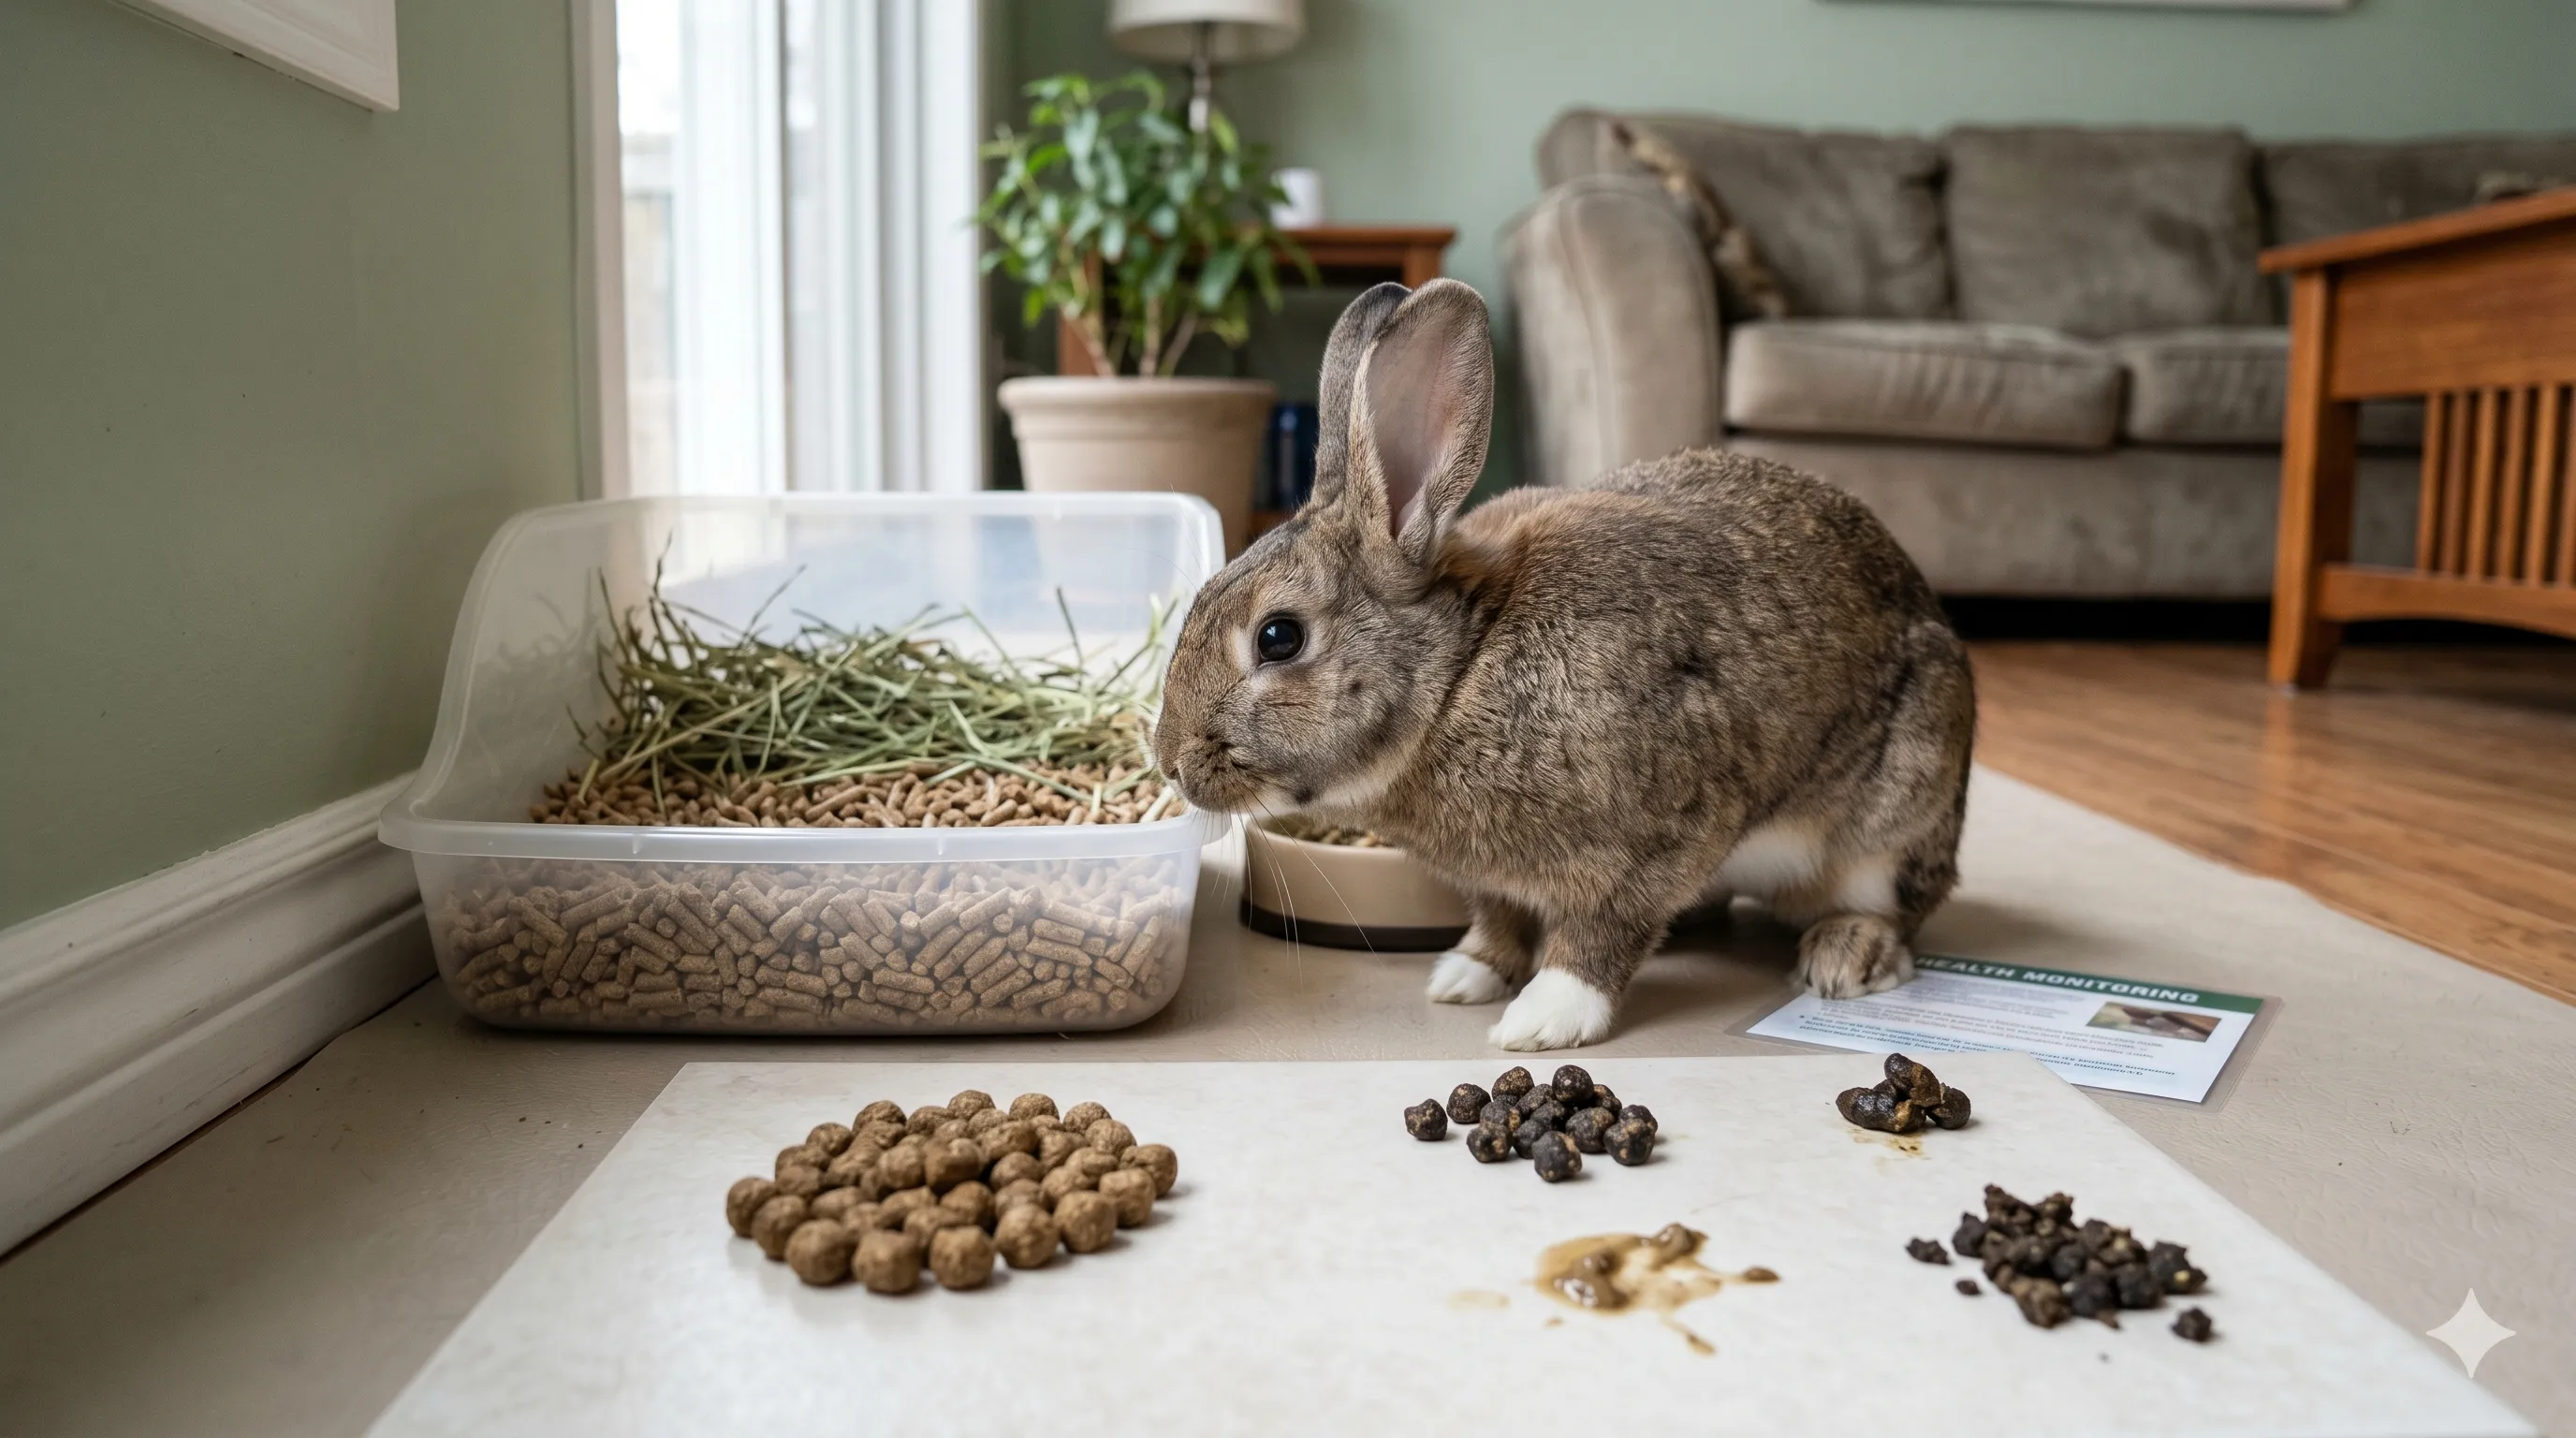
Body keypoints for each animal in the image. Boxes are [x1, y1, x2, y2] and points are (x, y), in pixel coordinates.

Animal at [1152, 279, 1975, 1051]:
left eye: (1278, 638)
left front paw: (1543, 1018)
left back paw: (1844, 955)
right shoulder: (1497, 882)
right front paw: (1465, 975)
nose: (1170, 763)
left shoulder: (1664, 832)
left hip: (1895, 812)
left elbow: (1603, 931)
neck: (1460, 672)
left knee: (1899, 909)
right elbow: (1501, 918)